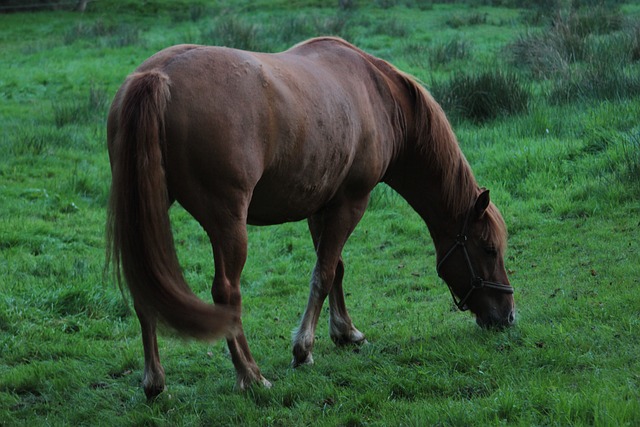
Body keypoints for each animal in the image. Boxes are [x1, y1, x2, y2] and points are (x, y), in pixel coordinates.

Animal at [106, 36, 516, 402]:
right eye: (488, 249)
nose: (508, 316)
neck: (379, 95)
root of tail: (157, 75)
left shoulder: (322, 207)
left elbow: (335, 269)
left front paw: (345, 332)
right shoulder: (351, 203)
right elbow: (323, 273)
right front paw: (303, 349)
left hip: (148, 217)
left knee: (145, 287)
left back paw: (155, 382)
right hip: (228, 226)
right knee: (227, 293)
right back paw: (251, 376)